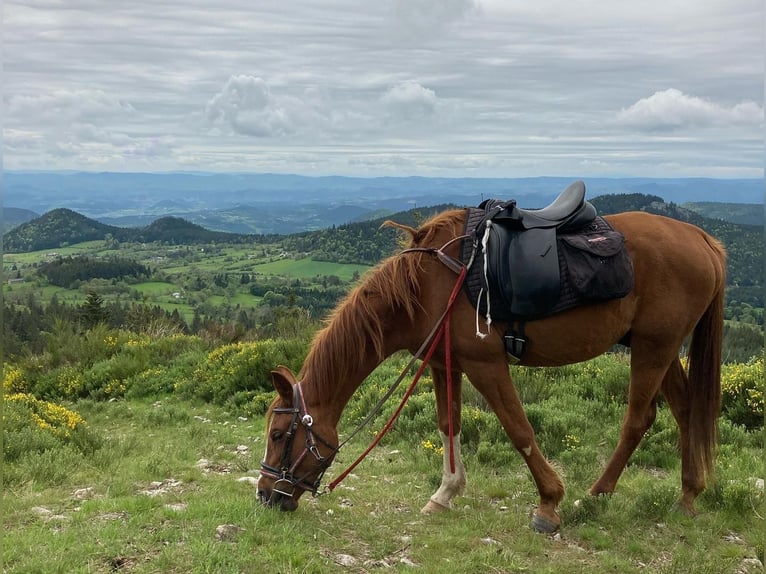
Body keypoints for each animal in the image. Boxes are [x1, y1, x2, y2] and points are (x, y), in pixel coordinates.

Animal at [256, 204, 728, 536]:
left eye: (279, 435)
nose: (265, 496)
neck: (425, 288)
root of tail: (703, 239)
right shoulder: (444, 363)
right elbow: (448, 424)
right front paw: (444, 494)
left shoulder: (486, 363)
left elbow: (518, 428)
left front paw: (549, 504)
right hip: (661, 348)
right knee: (685, 412)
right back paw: (688, 496)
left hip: (654, 347)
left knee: (637, 419)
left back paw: (595, 496)